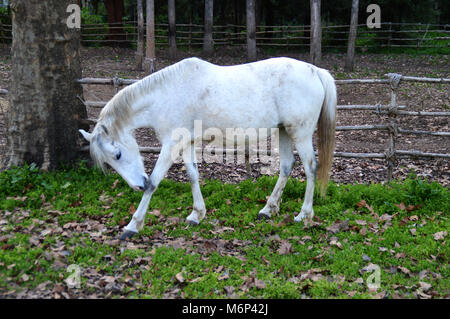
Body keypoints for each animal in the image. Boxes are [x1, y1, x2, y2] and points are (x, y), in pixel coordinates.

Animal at [80, 57, 334, 241]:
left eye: (117, 154)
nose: (137, 185)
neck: (167, 94)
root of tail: (315, 71)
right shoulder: (187, 142)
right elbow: (193, 174)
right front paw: (196, 214)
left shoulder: (171, 144)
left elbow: (155, 181)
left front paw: (133, 226)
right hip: (284, 131)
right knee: (286, 167)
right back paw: (268, 209)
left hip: (300, 134)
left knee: (310, 168)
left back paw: (304, 214)